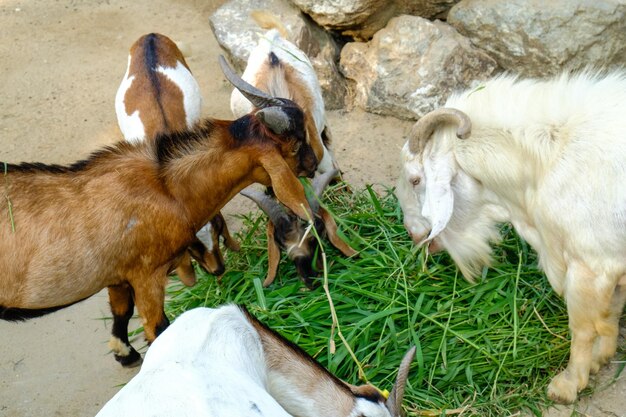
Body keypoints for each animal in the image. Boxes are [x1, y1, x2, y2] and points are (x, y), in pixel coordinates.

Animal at [1, 54, 316, 364]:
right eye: (296, 144)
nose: (313, 165)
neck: (167, 188)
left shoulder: (118, 274)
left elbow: (121, 310)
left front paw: (124, 353)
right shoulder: (147, 275)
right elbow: (157, 328)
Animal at [394, 70, 624, 404]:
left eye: (415, 180)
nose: (413, 233)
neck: (548, 158)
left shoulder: (590, 266)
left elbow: (582, 327)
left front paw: (567, 385)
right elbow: (609, 314)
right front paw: (600, 358)